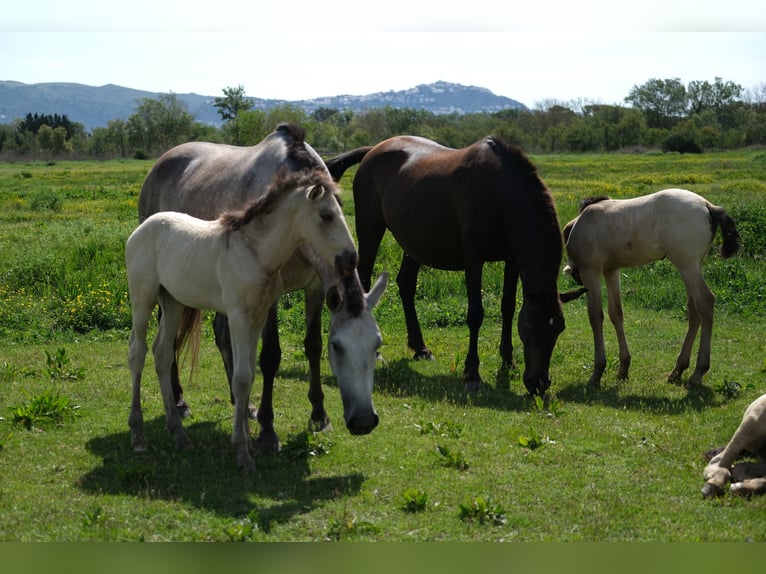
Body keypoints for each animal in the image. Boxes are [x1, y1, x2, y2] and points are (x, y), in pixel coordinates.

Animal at [138, 123, 388, 454]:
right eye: (339, 347)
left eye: (376, 345)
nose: (363, 422)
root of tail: (161, 162)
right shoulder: (270, 296)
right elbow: (270, 356)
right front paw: (268, 431)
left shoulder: (314, 288)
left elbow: (311, 346)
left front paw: (319, 415)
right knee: (168, 340)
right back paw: (180, 402)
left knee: (221, 333)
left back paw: (240, 402)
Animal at [326, 135, 585, 396]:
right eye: (531, 324)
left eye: (559, 327)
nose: (538, 383)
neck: (499, 193)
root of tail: (373, 150)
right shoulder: (473, 260)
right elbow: (476, 314)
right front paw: (472, 373)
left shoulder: (512, 260)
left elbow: (508, 307)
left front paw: (507, 362)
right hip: (370, 229)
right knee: (364, 281)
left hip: (416, 242)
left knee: (406, 285)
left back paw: (421, 348)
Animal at [562, 188, 741, 388]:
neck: (580, 223)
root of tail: (707, 205)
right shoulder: (611, 271)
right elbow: (616, 313)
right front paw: (623, 368)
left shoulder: (590, 271)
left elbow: (595, 317)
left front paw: (597, 372)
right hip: (693, 266)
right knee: (694, 310)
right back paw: (678, 370)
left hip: (687, 265)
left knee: (705, 302)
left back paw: (698, 372)